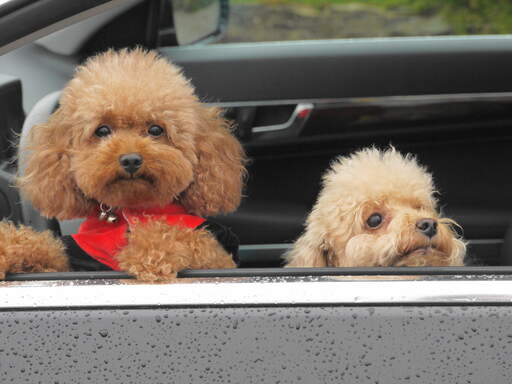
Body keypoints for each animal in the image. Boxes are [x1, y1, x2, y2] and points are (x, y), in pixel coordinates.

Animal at [0, 48, 246, 282]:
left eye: (155, 130)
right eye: (102, 130)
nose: (130, 160)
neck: (131, 210)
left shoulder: (216, 256)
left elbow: (183, 236)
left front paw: (150, 247)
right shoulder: (79, 254)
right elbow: (48, 247)